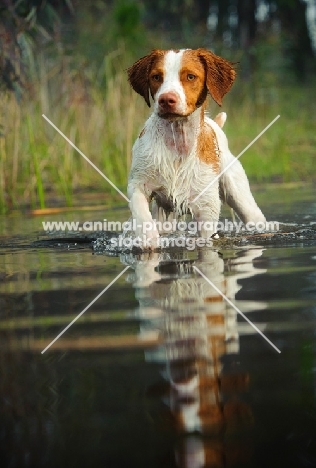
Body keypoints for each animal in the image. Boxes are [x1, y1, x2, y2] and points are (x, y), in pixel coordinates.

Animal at [127, 48, 266, 245]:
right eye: (156, 77)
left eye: (190, 76)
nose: (166, 100)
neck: (177, 142)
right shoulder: (138, 184)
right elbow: (142, 215)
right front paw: (149, 239)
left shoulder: (206, 208)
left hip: (242, 200)